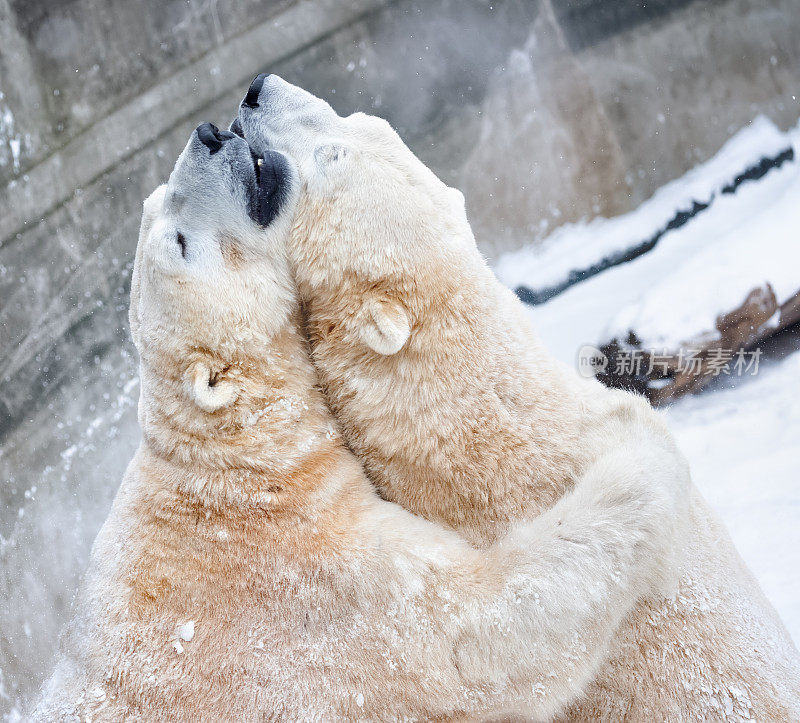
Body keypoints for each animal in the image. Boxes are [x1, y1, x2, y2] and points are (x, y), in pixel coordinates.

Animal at [32, 126, 688, 723]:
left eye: (157, 200)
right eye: (181, 242)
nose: (210, 135)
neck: (239, 469)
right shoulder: (311, 587)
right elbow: (483, 633)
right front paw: (637, 443)